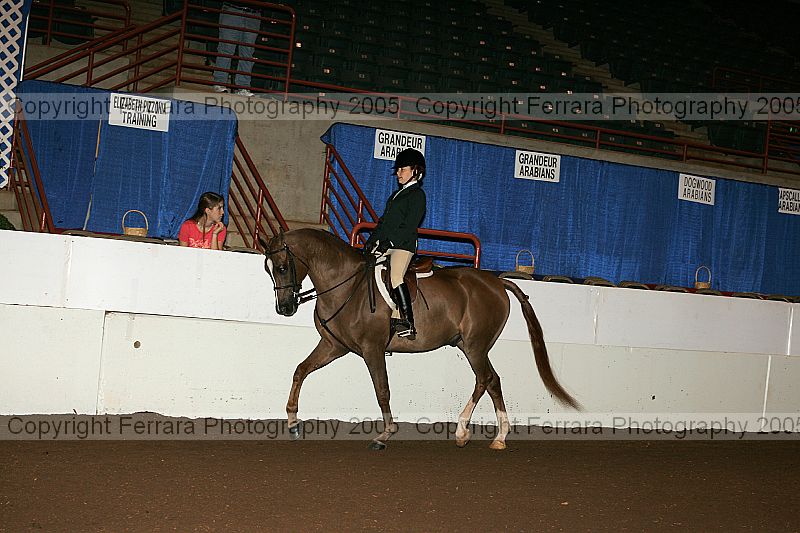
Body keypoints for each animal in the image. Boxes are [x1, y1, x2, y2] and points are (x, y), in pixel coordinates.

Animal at [261, 228, 578, 450]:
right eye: (268, 269)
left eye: (282, 267)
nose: (284, 308)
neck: (346, 285)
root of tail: (497, 281)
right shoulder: (334, 346)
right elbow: (300, 370)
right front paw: (292, 422)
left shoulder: (372, 349)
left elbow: (382, 391)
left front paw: (384, 434)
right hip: (471, 346)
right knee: (492, 381)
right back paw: (497, 437)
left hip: (475, 346)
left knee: (484, 379)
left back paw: (464, 431)